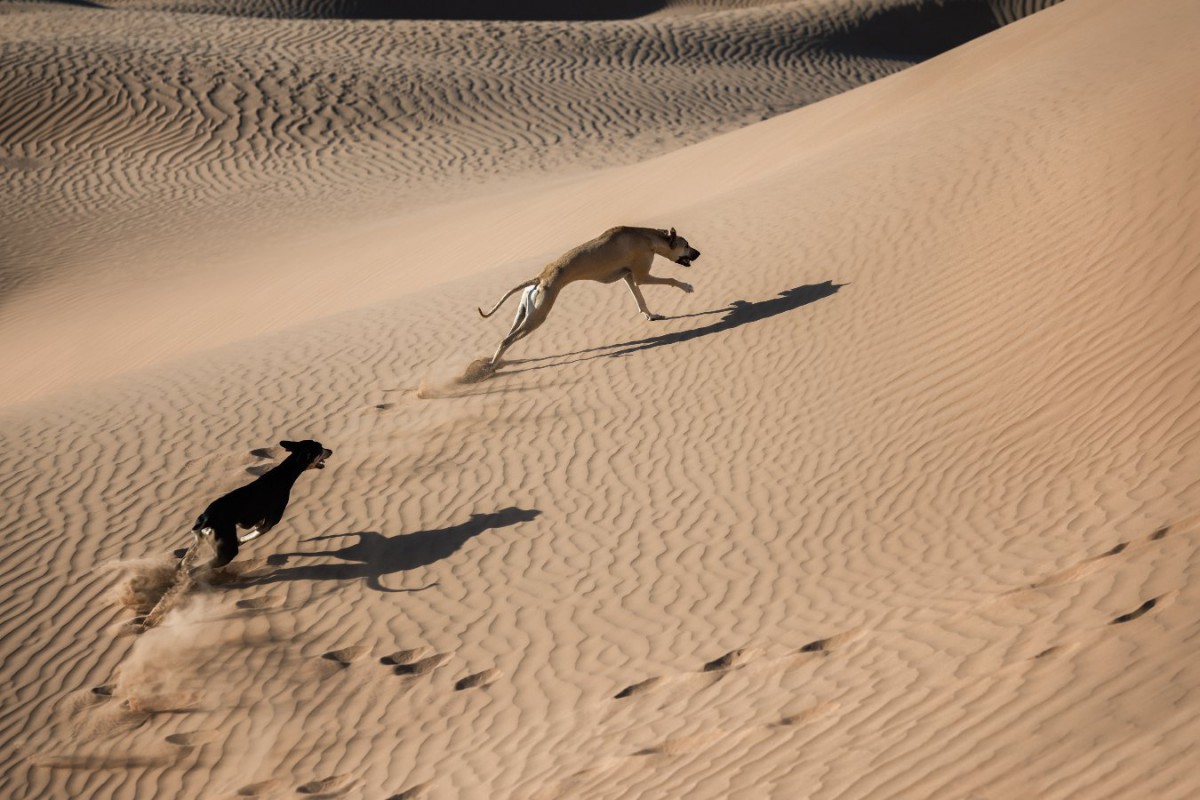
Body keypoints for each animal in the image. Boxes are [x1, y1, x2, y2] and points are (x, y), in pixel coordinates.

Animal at [184, 441, 331, 573]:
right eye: (320, 448)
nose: (331, 450)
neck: (283, 475)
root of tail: (207, 519)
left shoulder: (258, 521)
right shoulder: (271, 522)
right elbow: (252, 535)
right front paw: (241, 540)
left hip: (198, 543)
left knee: (185, 563)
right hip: (227, 552)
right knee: (194, 570)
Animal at [477, 224, 700, 364]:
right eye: (686, 245)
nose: (698, 253)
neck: (647, 238)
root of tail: (540, 277)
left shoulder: (628, 277)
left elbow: (640, 300)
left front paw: (651, 315)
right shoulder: (641, 276)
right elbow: (670, 280)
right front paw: (687, 287)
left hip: (525, 313)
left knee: (507, 335)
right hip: (538, 316)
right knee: (506, 341)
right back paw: (491, 367)